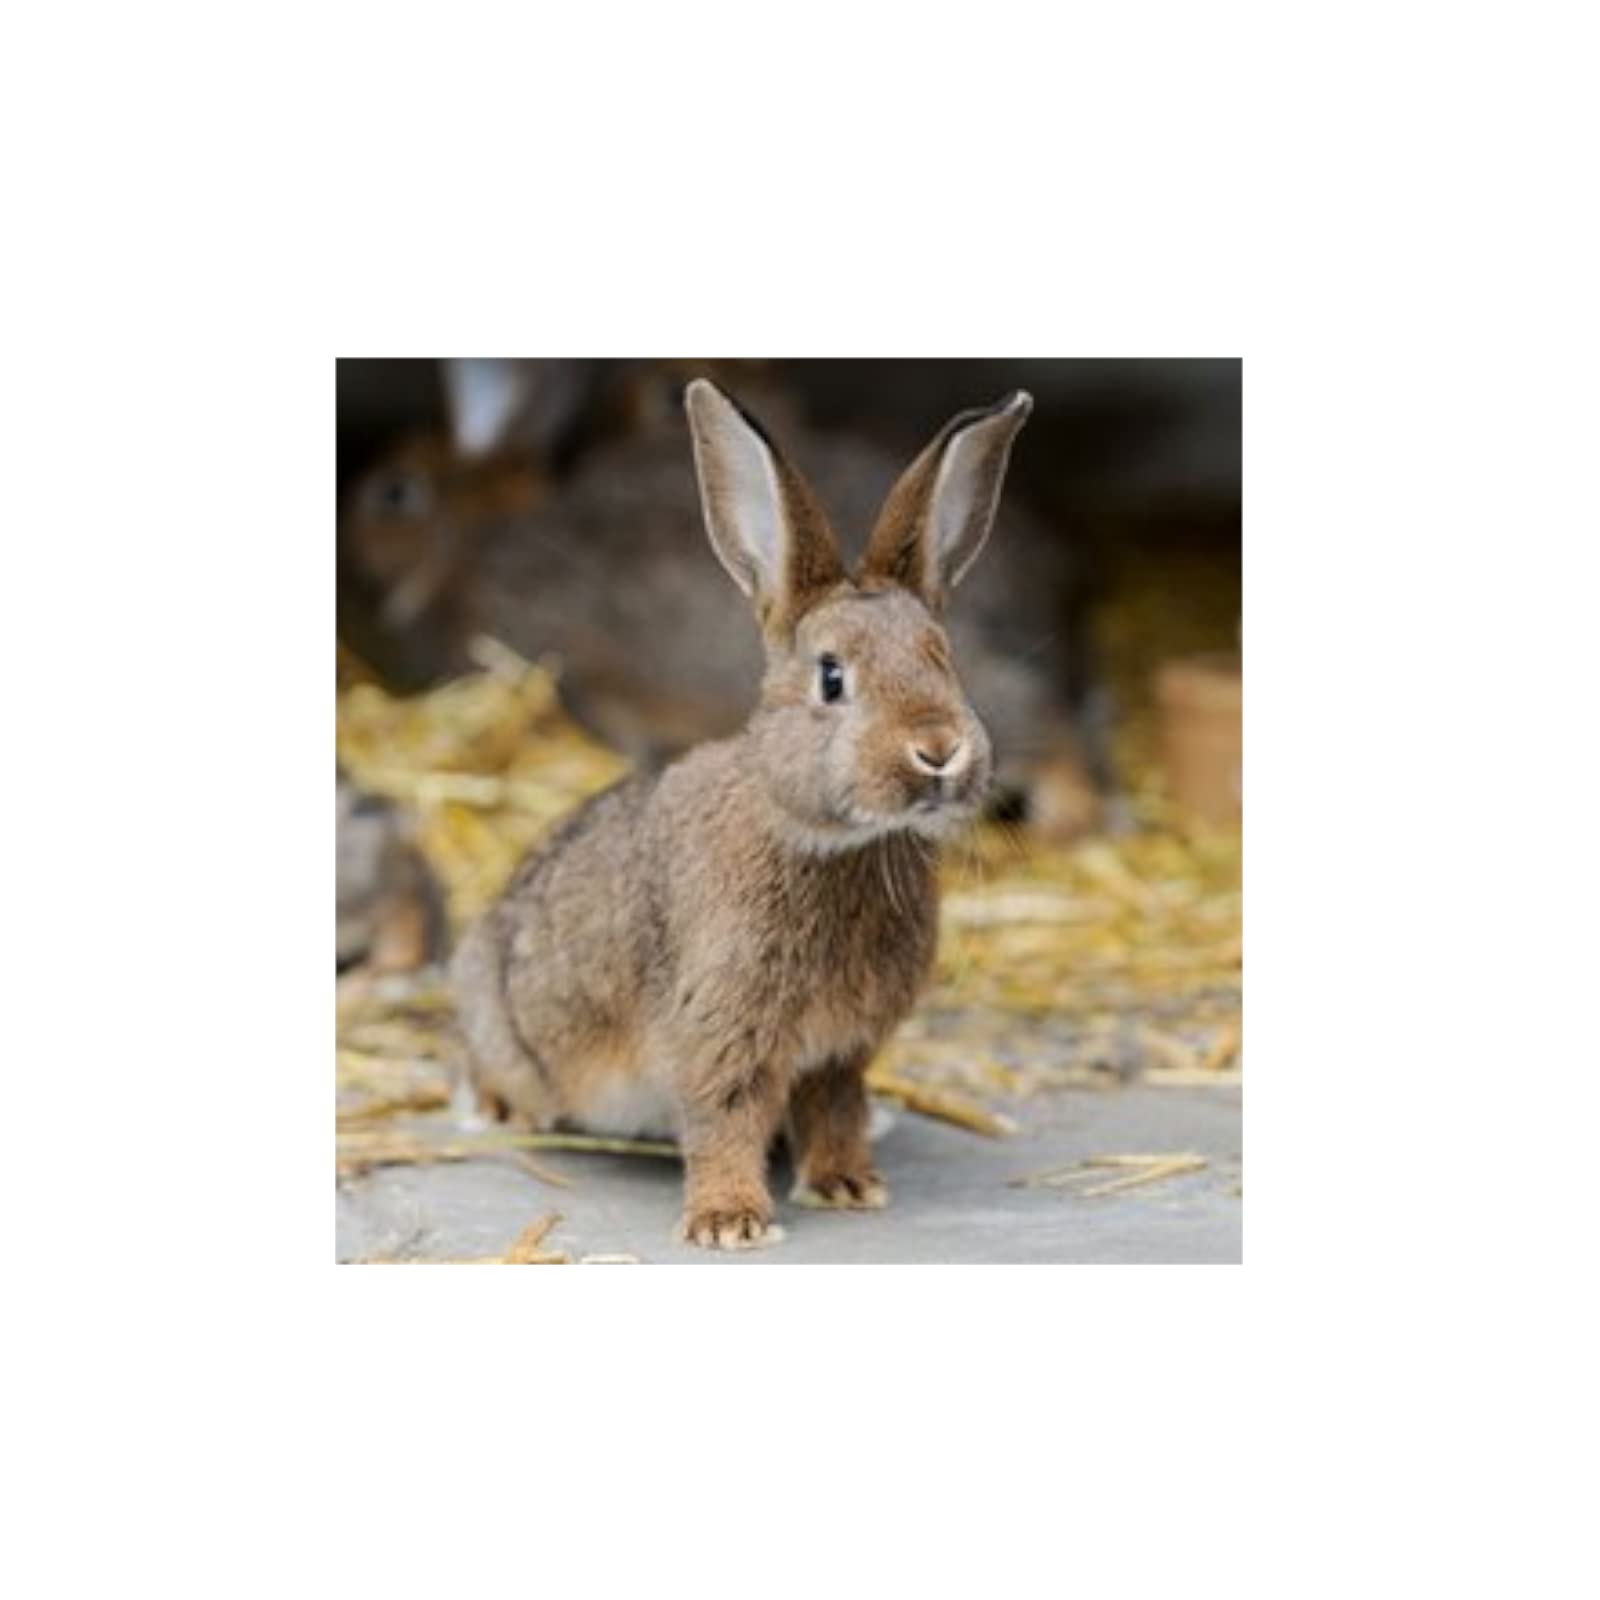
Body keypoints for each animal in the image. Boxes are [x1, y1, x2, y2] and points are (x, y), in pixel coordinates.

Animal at [451, 381, 1030, 1249]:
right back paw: (493, 1109)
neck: (829, 842)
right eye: (832, 678)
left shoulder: (839, 1052)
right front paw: (729, 1223)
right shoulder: (721, 1030)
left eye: (945, 661)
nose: (938, 750)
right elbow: (724, 1118)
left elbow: (836, 1110)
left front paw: (848, 1185)